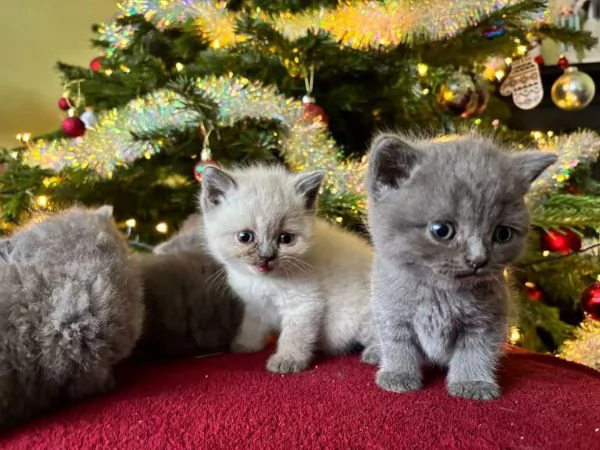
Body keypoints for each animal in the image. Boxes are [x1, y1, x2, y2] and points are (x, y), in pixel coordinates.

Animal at [198, 165, 376, 372]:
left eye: (286, 238)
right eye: (244, 237)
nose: (267, 257)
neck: (261, 281)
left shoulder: (303, 304)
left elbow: (294, 335)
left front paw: (287, 361)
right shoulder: (256, 305)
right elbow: (252, 326)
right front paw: (245, 345)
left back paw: (373, 354)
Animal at [366, 134, 556, 400]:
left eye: (503, 234)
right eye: (441, 230)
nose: (478, 260)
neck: (441, 295)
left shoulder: (488, 320)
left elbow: (475, 352)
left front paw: (472, 383)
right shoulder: (390, 311)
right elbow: (396, 345)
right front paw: (398, 375)